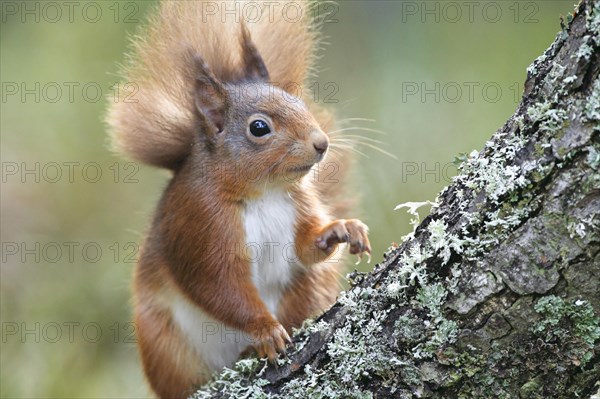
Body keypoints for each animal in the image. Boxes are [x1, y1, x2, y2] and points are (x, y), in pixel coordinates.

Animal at [108, 1, 370, 398]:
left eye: (298, 101)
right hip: (164, 345)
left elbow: (306, 249)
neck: (264, 194)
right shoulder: (200, 222)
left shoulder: (299, 205)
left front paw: (341, 229)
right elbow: (218, 286)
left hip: (306, 293)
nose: (321, 143)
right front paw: (265, 329)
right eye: (259, 128)